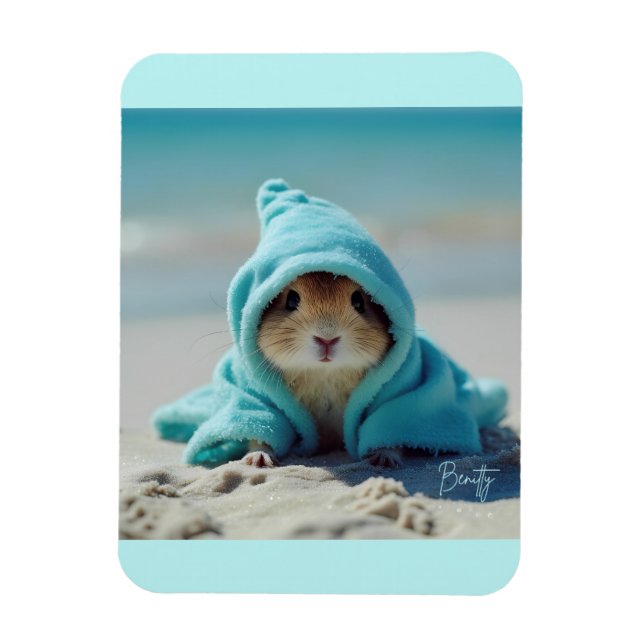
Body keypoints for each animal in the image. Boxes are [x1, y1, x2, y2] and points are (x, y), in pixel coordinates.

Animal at [242, 271, 402, 468]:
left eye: (359, 301)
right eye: (291, 300)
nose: (327, 338)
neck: (324, 373)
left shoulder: (391, 399)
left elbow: (388, 430)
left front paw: (384, 458)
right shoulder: (261, 401)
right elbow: (262, 432)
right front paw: (258, 459)